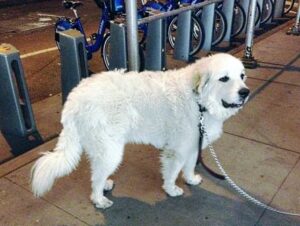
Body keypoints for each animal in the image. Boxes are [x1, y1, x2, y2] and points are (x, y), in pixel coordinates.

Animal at [31, 53, 250, 208]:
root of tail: (74, 97)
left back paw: (104, 186)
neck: (199, 102)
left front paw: (190, 180)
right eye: (224, 78)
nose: (245, 92)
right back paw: (99, 200)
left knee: (96, 173)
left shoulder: (192, 146)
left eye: (242, 76)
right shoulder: (177, 150)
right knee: (95, 179)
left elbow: (188, 167)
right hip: (111, 151)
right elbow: (172, 172)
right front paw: (171, 189)